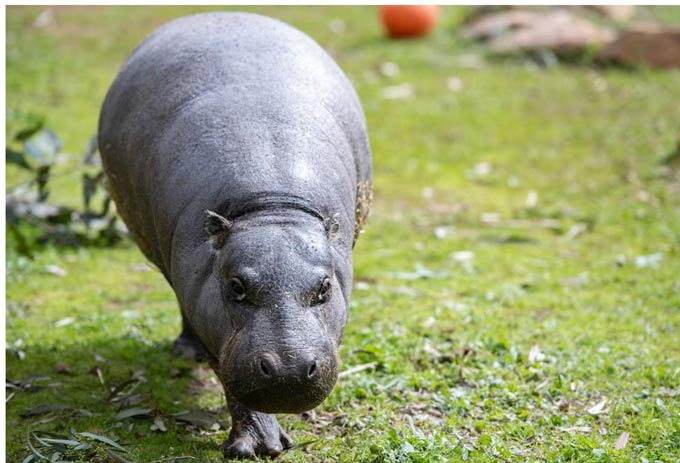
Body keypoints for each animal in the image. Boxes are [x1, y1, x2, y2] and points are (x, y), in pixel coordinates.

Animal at [98, 11, 372, 458]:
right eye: (236, 286)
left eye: (325, 287)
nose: (289, 370)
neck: (272, 205)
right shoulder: (212, 313)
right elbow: (229, 376)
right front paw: (258, 446)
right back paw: (186, 352)